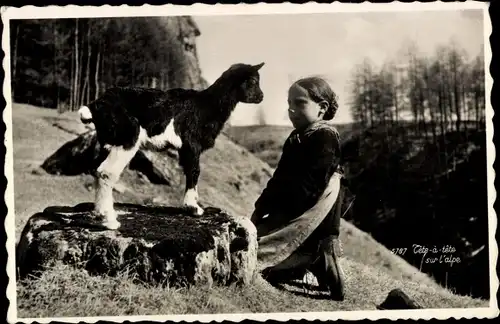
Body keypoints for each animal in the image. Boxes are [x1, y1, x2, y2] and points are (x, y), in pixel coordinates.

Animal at [78, 62, 266, 230]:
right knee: (106, 173)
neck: (206, 106)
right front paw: (194, 208)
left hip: (109, 141)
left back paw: (100, 214)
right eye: (253, 81)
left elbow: (190, 171)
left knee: (97, 170)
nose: (261, 97)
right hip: (127, 138)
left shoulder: (184, 149)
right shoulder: (191, 144)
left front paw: (191, 205)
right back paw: (110, 221)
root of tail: (97, 104)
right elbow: (194, 171)